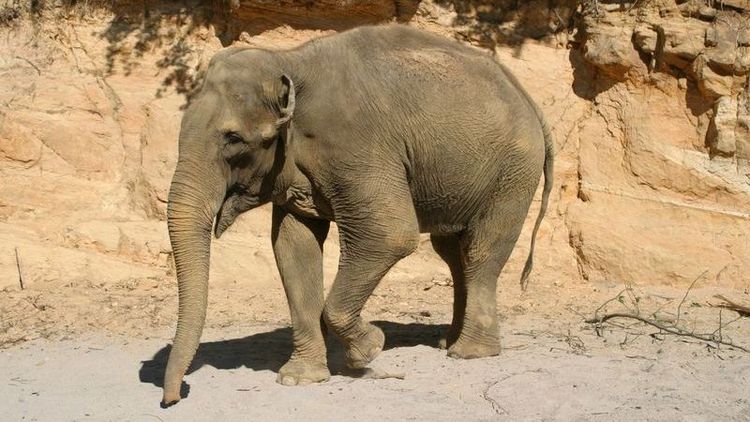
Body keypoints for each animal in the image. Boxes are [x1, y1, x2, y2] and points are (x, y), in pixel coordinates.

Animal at [163, 23, 552, 406]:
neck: (290, 60)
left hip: (512, 172)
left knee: (481, 249)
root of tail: (529, 100)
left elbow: (391, 235)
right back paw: (448, 341)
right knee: (452, 251)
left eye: (233, 139)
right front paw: (299, 378)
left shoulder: (359, 146)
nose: (173, 399)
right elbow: (293, 245)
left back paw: (469, 352)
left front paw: (369, 349)